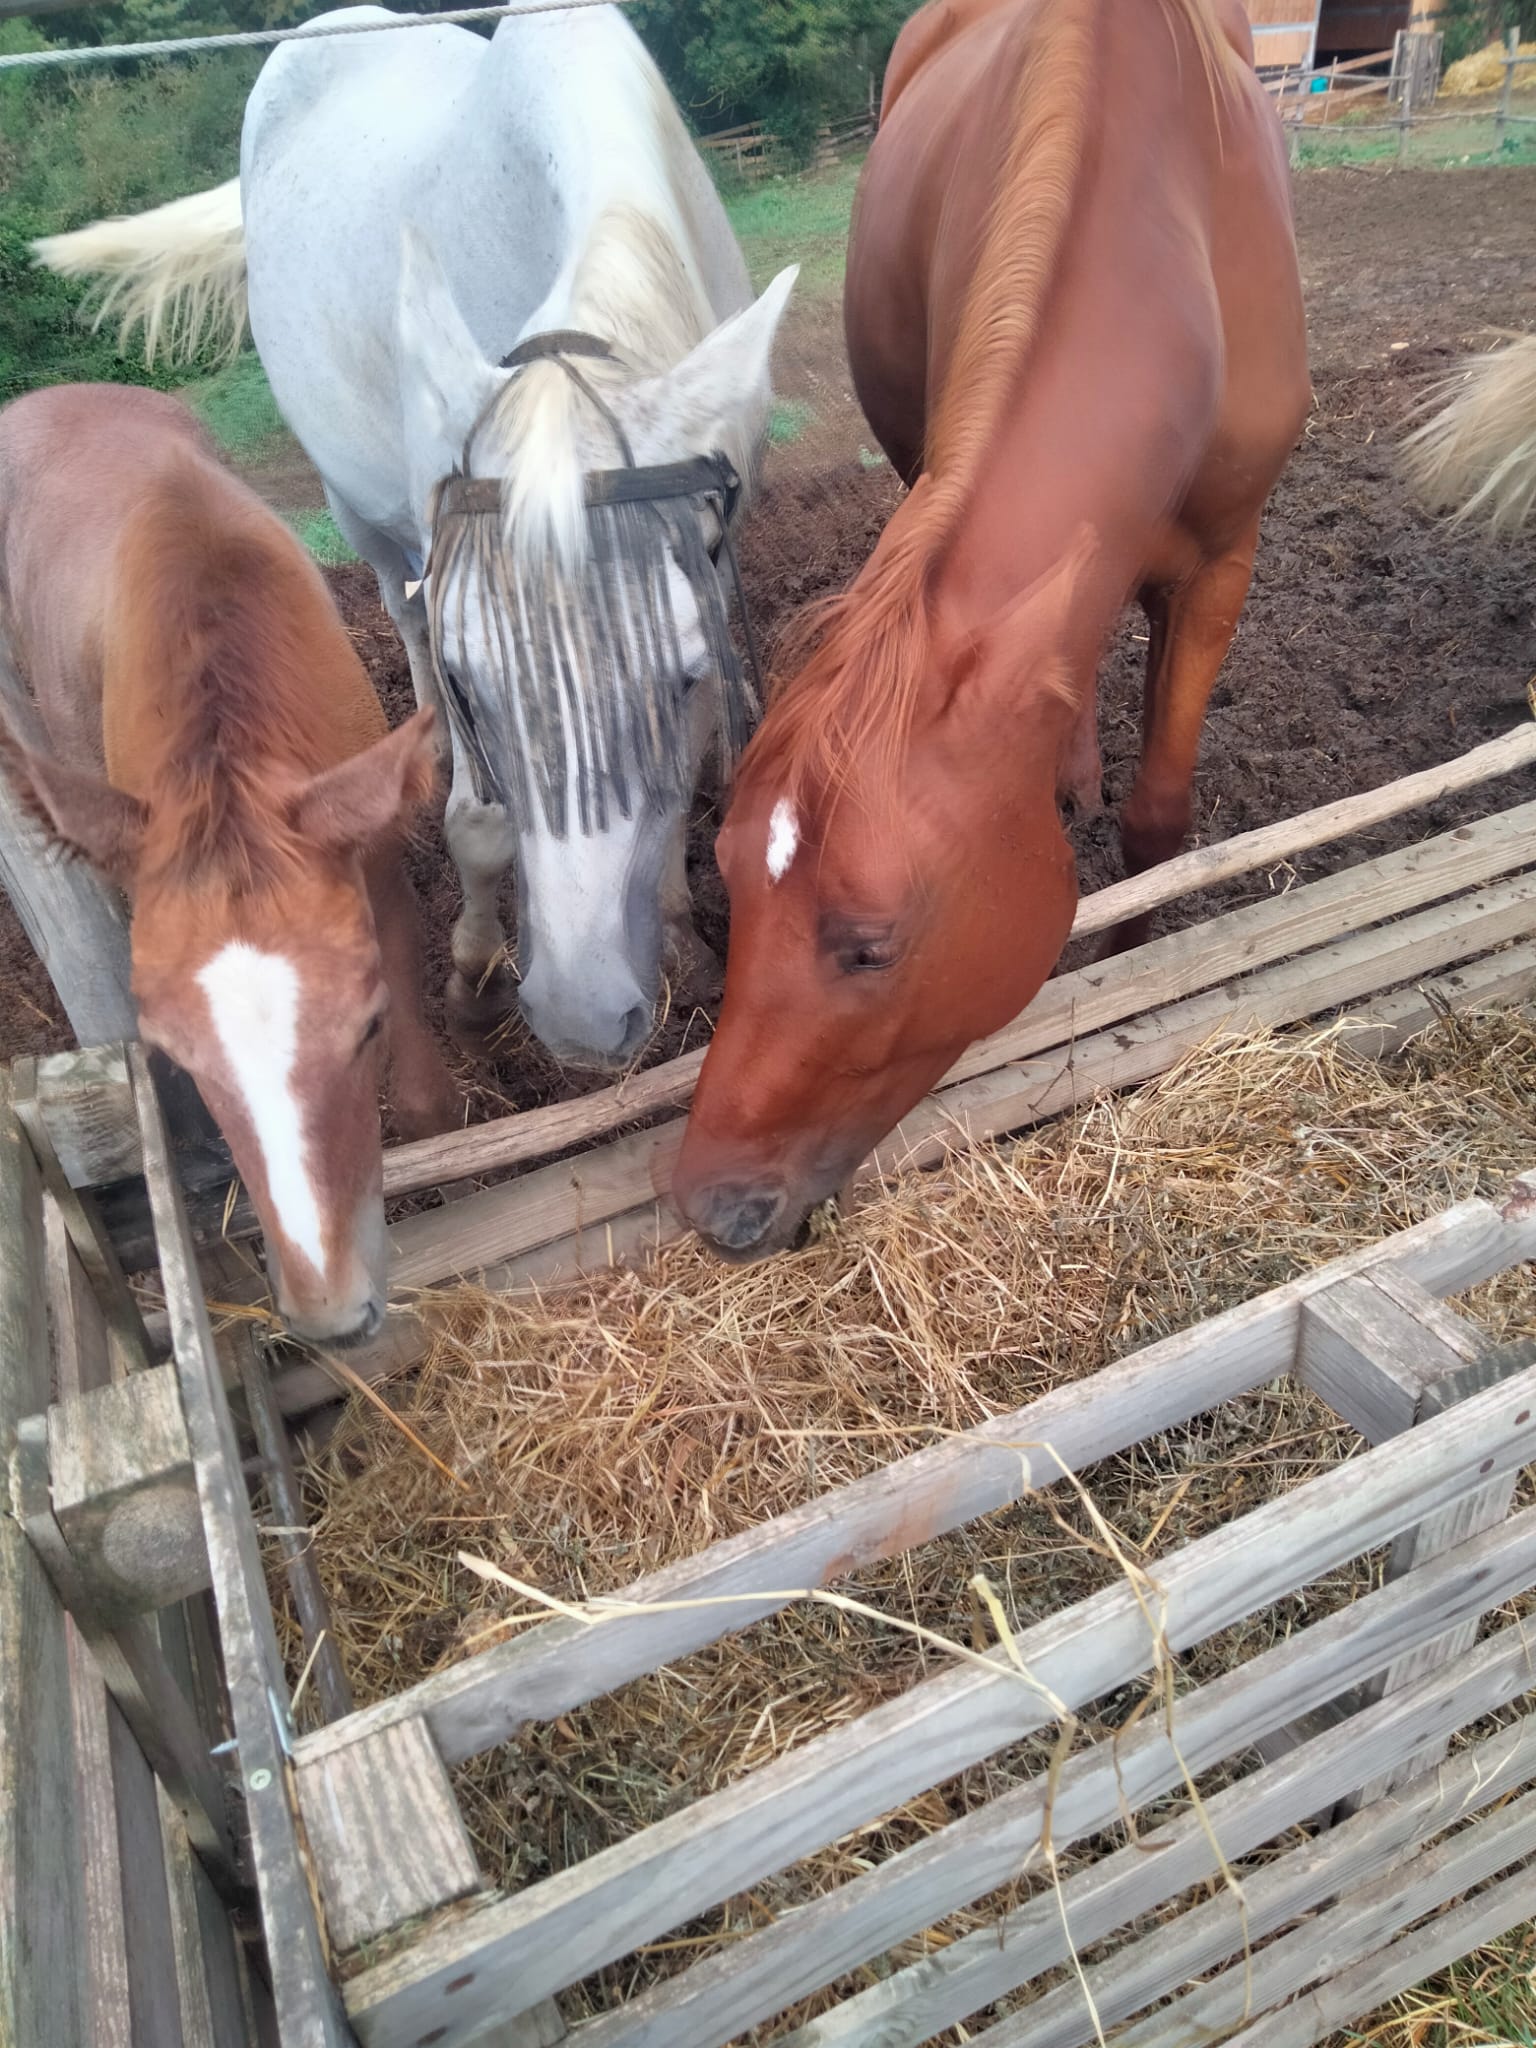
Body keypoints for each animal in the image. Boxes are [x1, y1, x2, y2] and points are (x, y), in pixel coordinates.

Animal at [35, 4, 796, 1071]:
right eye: (477, 683)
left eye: (683, 677)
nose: (582, 1017)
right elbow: (480, 819)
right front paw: (475, 978)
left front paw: (687, 941)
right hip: (366, 521)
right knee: (401, 616)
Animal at [672, 0, 1310, 1261]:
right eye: (728, 884)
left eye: (868, 942)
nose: (711, 1207)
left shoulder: (1225, 561)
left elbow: (1158, 818)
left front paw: (1132, 965)